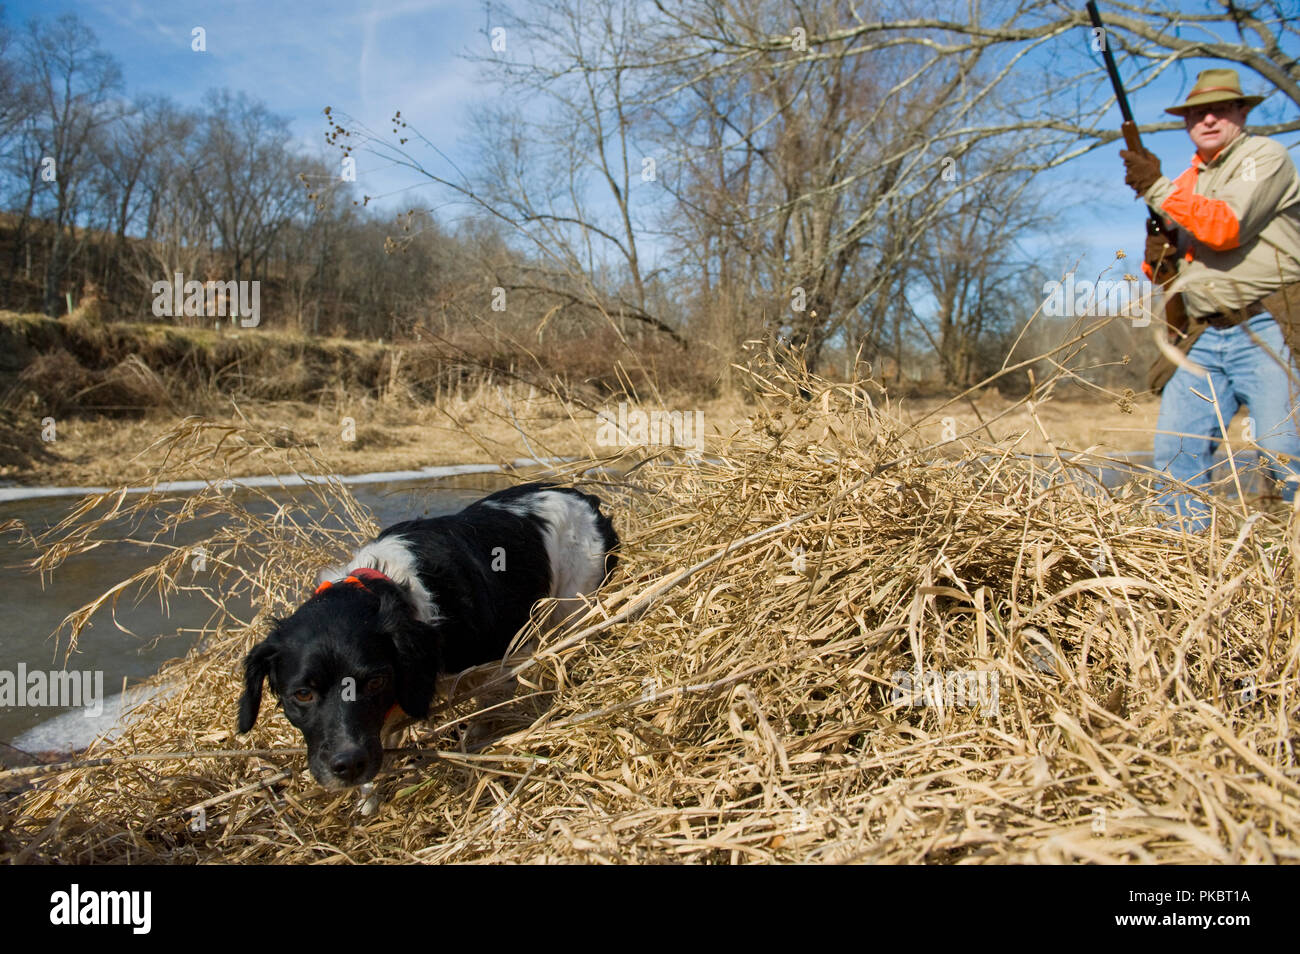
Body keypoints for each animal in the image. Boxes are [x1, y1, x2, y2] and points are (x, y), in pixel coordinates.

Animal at [239, 486, 618, 790]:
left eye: (375, 682)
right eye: (302, 694)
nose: (348, 766)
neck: (386, 586)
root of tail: (583, 498)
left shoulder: (494, 664)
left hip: (574, 607)